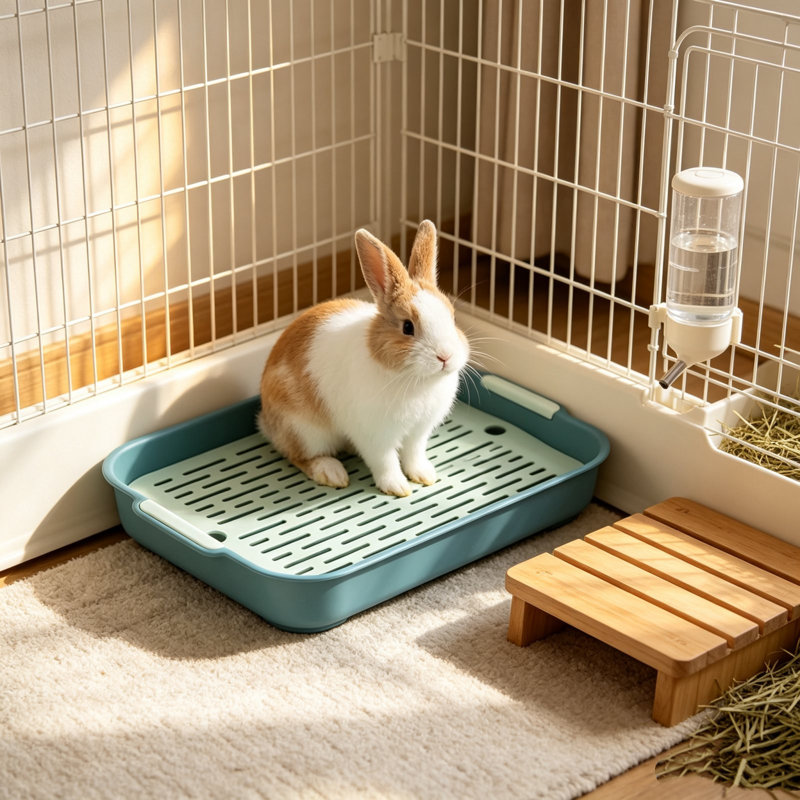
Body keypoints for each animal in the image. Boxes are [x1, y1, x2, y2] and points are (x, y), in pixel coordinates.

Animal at [258, 219, 470, 497]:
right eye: (408, 327)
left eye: (452, 317)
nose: (445, 356)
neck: (416, 380)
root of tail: (265, 419)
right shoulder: (375, 435)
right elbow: (385, 462)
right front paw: (398, 488)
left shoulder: (417, 433)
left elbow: (413, 455)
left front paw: (425, 476)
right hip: (304, 430)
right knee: (299, 455)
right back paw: (332, 473)